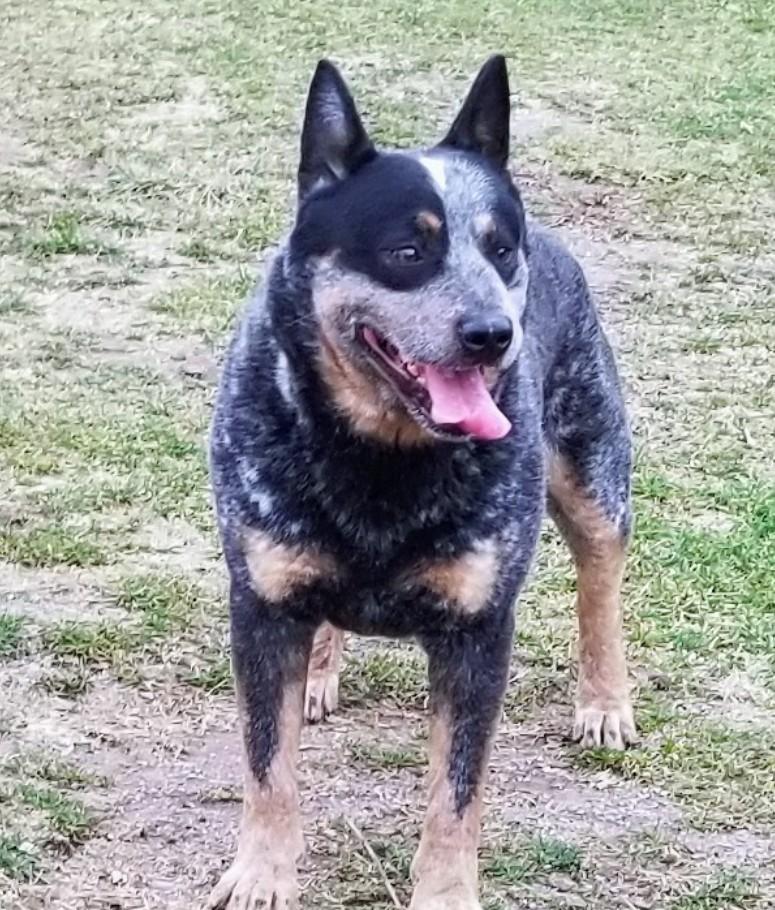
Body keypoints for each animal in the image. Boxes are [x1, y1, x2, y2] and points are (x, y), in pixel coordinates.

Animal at [208, 55, 636, 910]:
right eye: (407, 250)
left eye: (500, 249)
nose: (493, 334)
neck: (382, 455)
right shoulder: (261, 607)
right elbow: (267, 762)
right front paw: (260, 874)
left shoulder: (478, 630)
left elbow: (455, 796)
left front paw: (444, 892)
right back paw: (320, 673)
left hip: (591, 467)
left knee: (600, 574)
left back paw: (604, 701)